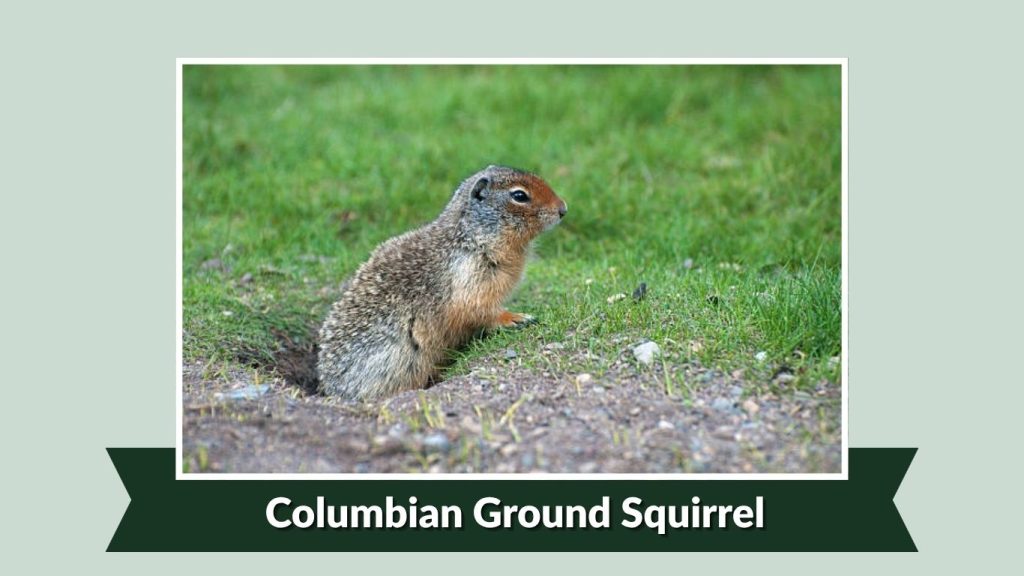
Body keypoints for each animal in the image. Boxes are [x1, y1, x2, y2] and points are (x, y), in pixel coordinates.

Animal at [317, 165, 567, 400]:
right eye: (519, 195)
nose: (563, 209)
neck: (472, 236)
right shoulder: (469, 275)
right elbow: (478, 308)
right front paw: (516, 318)